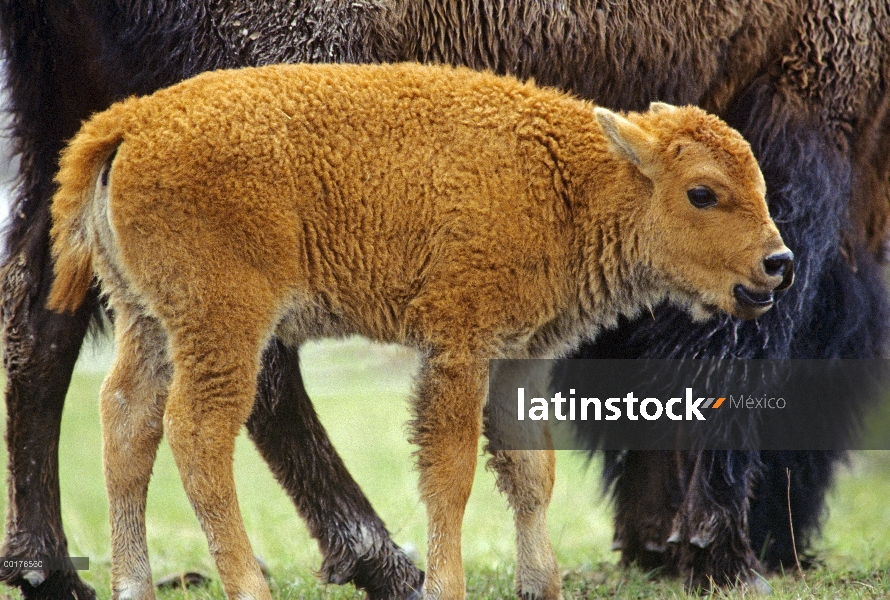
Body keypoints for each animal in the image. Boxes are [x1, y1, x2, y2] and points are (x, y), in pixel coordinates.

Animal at [0, 1, 884, 600]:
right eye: (703, 193)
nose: (777, 265)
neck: (577, 176)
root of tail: (132, 124)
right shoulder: (459, 348)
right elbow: (452, 471)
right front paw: (717, 554)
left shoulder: (519, 358)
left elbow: (529, 472)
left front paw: (542, 582)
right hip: (226, 322)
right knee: (206, 427)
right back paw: (293, 575)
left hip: (143, 310)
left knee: (112, 406)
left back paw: (97, 576)